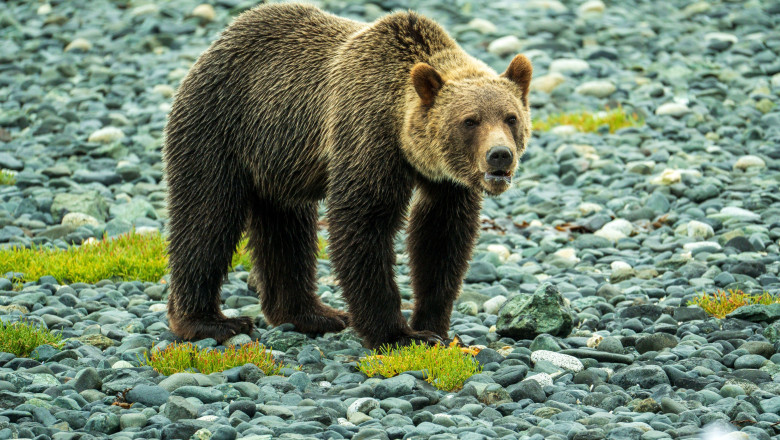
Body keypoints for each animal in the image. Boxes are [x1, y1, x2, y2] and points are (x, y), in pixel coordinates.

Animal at [163, 3, 532, 348]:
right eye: (470, 120)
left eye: (510, 117)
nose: (500, 155)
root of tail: (219, 40)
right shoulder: (366, 137)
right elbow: (363, 224)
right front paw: (397, 334)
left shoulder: (447, 183)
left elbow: (441, 238)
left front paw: (434, 326)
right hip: (220, 128)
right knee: (207, 218)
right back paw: (210, 321)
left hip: (279, 161)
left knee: (287, 230)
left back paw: (311, 314)